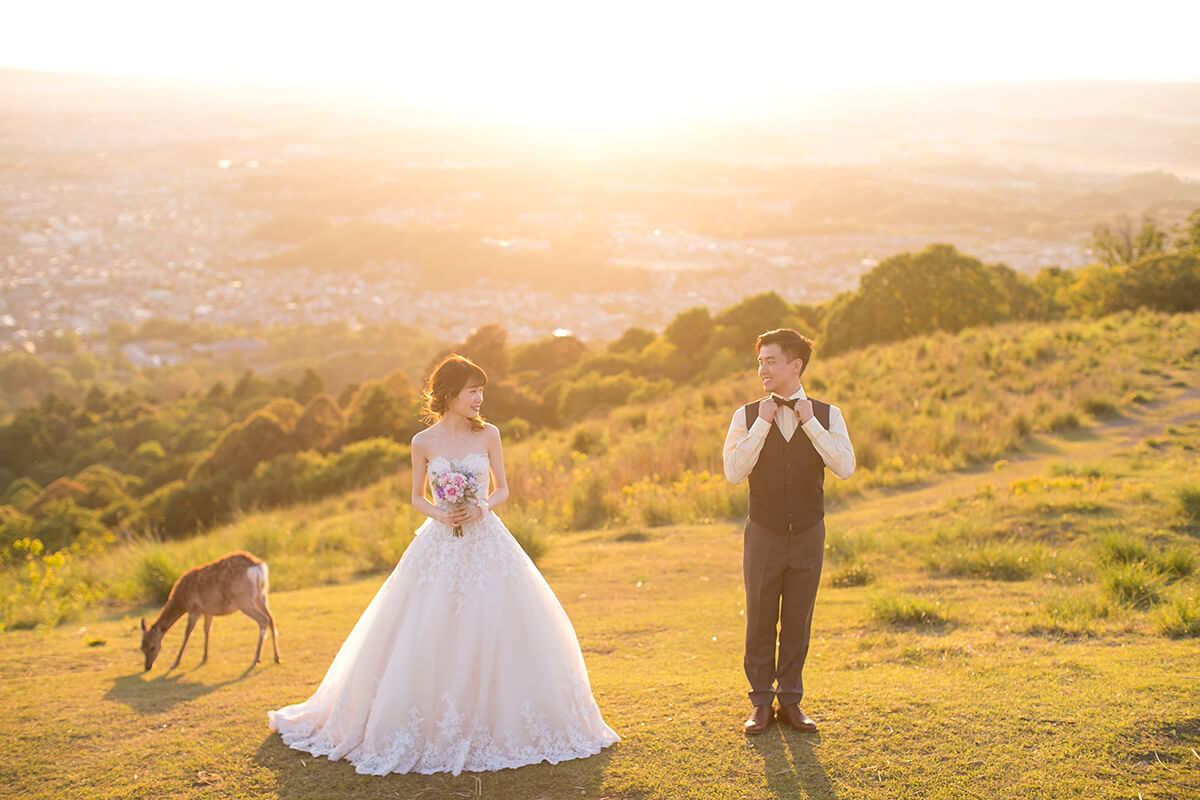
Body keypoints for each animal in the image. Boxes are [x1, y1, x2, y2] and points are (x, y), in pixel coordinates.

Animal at [140, 551, 280, 671]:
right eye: (141, 647)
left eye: (152, 647)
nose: (148, 667)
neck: (181, 601)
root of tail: (257, 567)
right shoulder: (208, 611)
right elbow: (207, 630)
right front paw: (204, 658)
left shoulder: (195, 609)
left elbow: (187, 633)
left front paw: (175, 662)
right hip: (261, 595)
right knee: (271, 619)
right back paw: (277, 657)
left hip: (243, 599)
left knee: (263, 619)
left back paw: (257, 659)